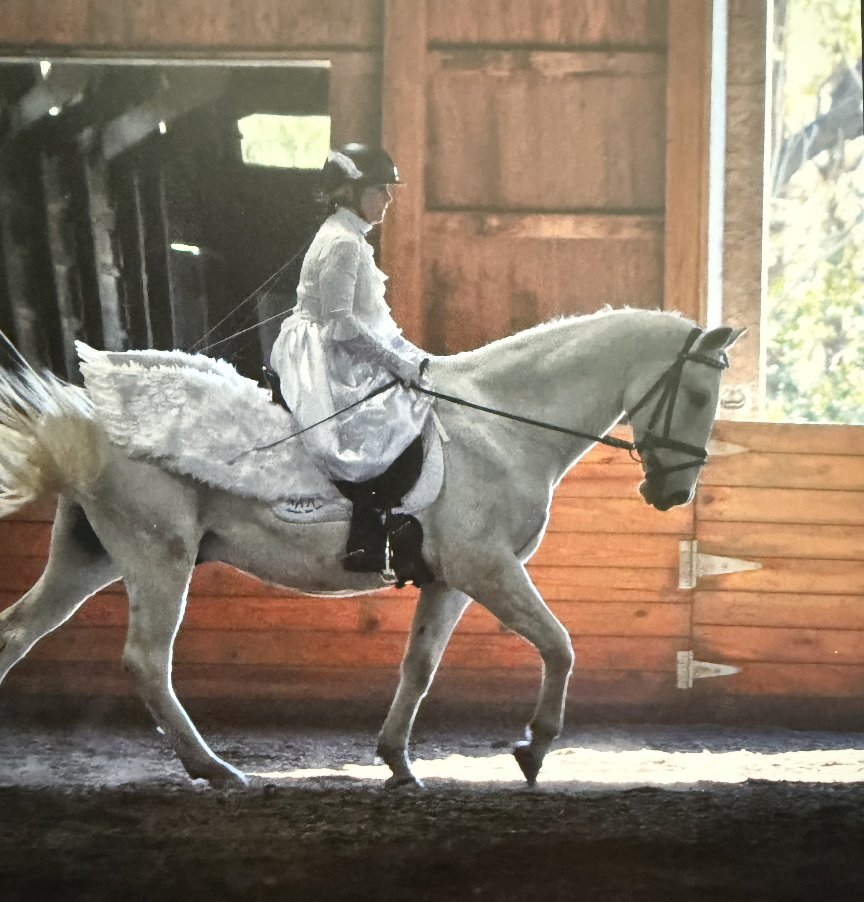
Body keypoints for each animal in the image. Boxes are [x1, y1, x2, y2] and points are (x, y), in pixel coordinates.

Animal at [0, 308, 743, 789]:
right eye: (698, 393)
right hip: (158, 556)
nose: (673, 494)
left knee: (16, 632)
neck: (500, 428)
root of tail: (88, 412)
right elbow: (560, 645)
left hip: (89, 555)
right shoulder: (486, 567)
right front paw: (534, 747)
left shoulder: (448, 581)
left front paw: (397, 762)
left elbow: (419, 666)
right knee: (148, 662)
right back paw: (217, 770)